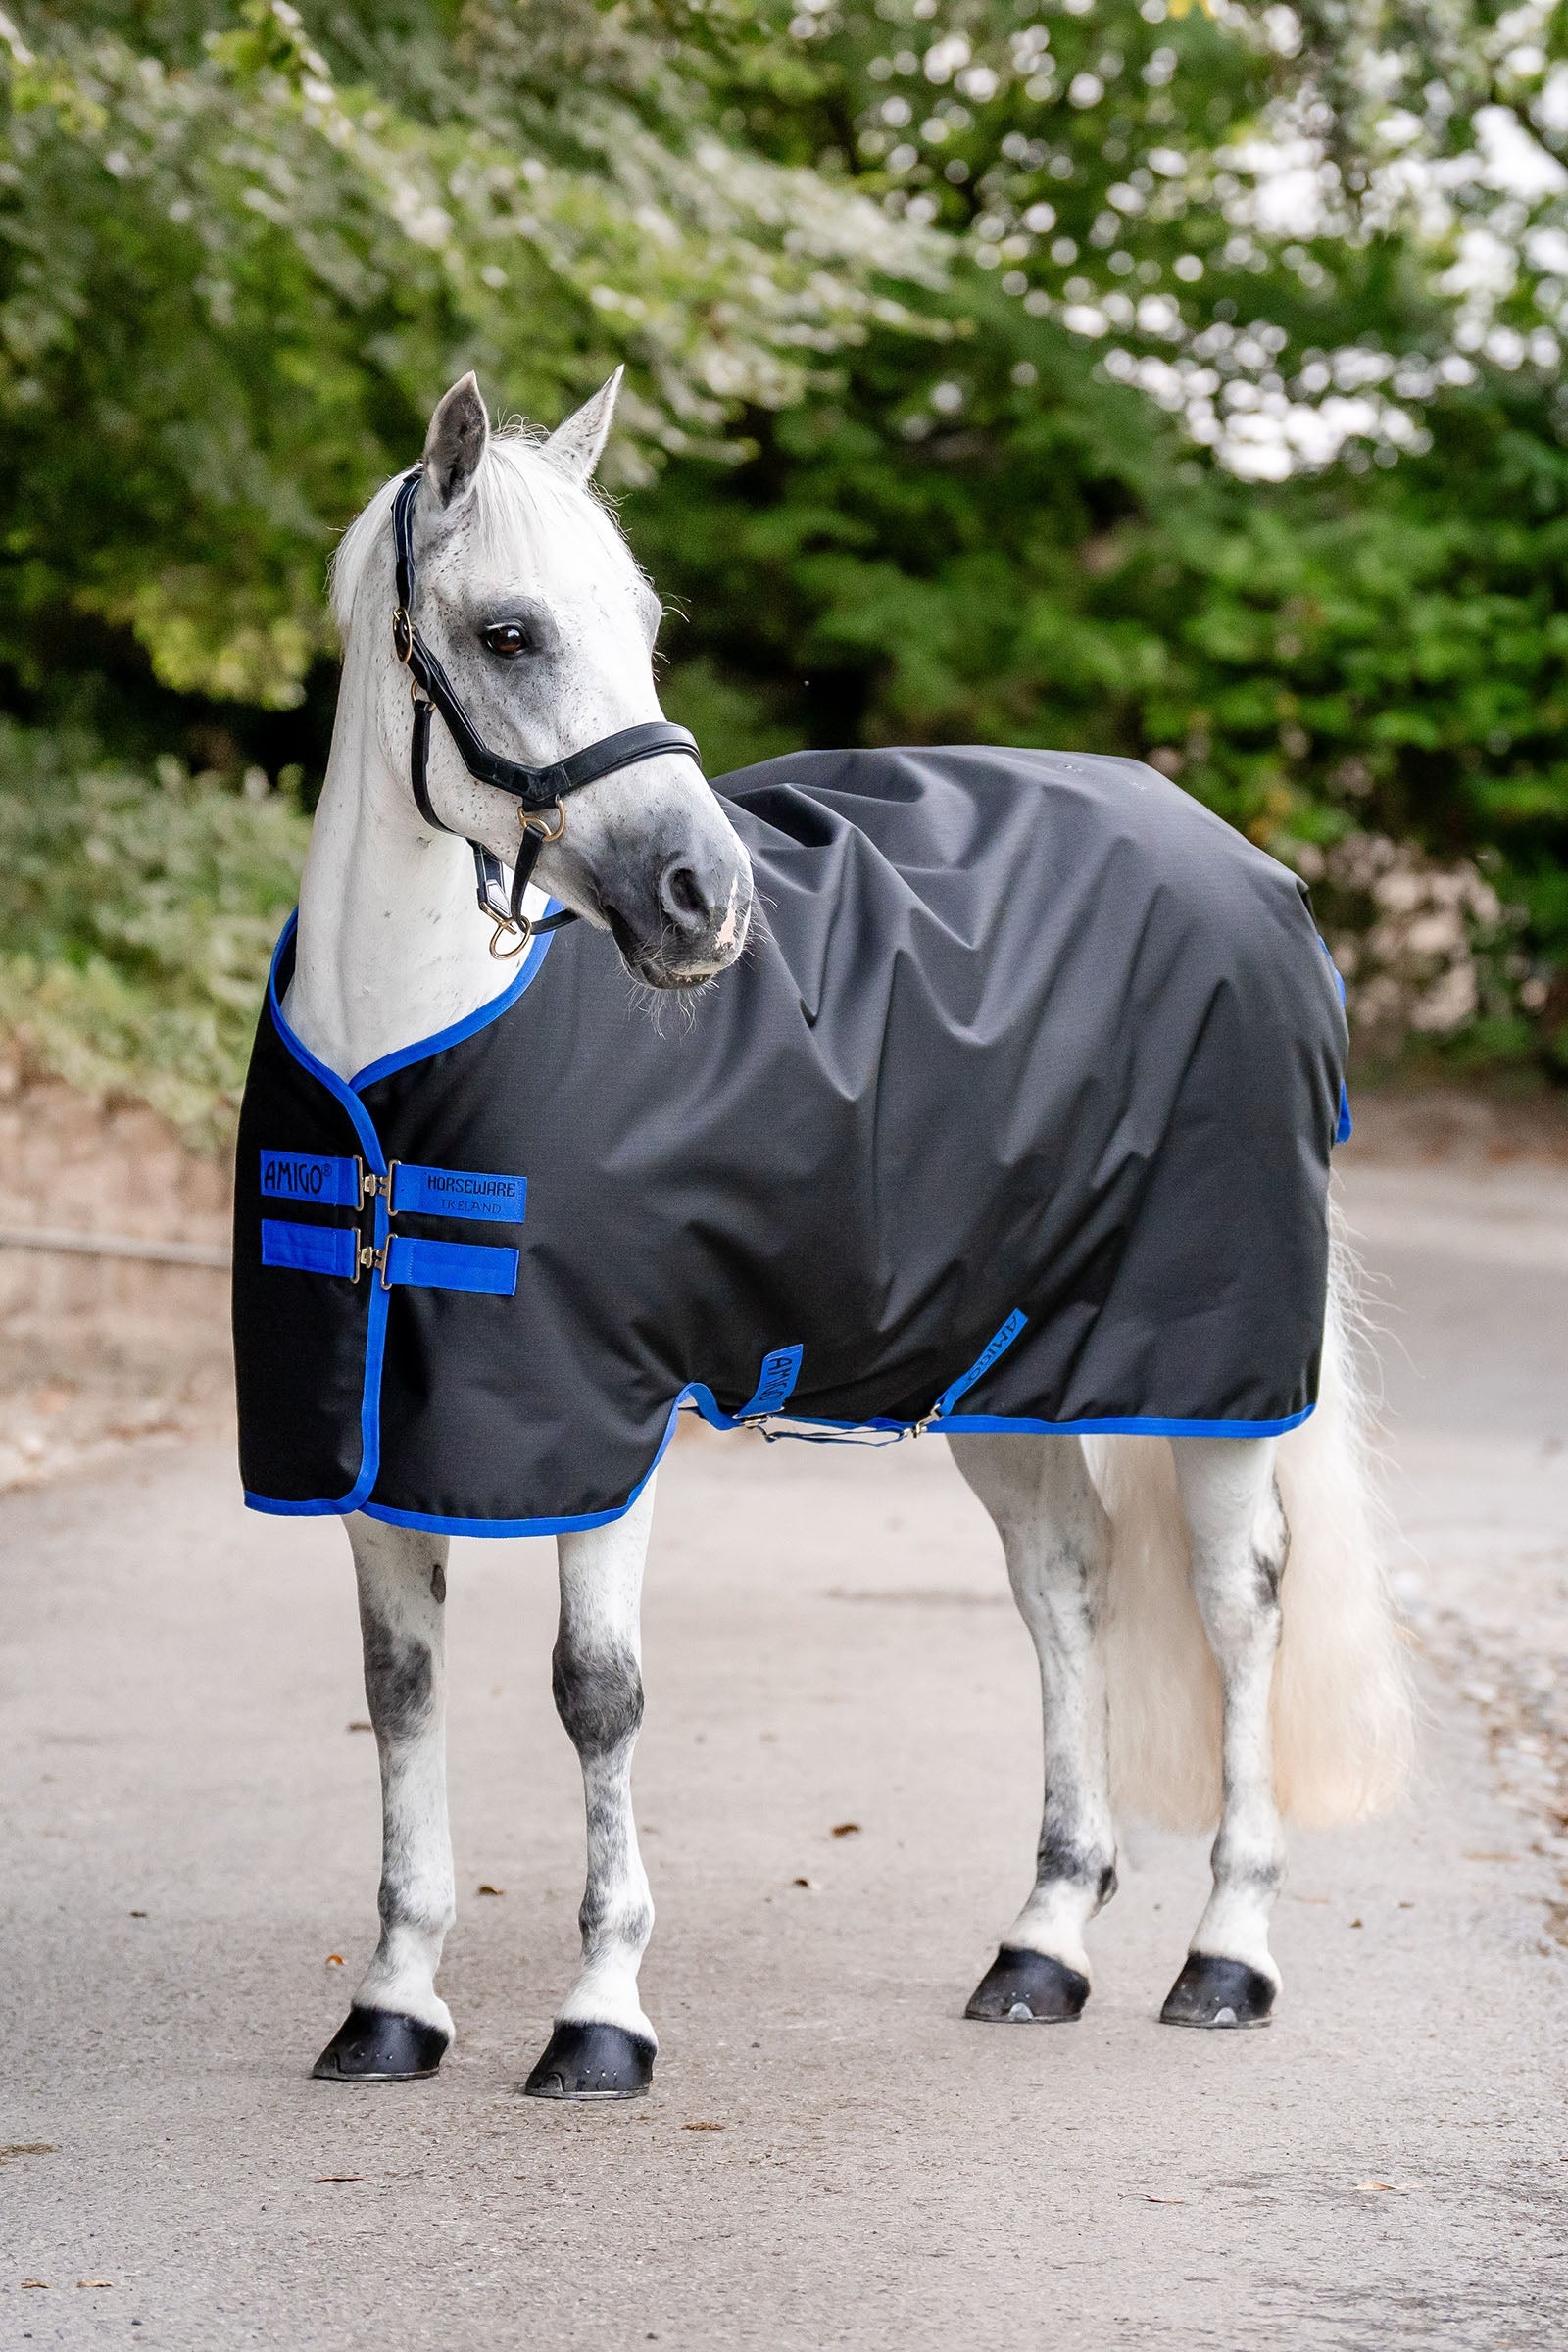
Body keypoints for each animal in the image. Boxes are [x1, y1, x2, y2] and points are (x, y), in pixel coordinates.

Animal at [252, 369, 1413, 2100]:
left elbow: (596, 1696)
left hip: (1213, 1375)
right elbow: (401, 1697)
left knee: (1238, 1601)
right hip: (1007, 1374)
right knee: (1066, 1584)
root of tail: (1255, 872)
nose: (706, 899)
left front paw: (601, 2017)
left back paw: (1227, 1954)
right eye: (511, 632)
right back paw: (1042, 1946)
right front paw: (393, 2004)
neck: (405, 1073)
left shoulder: (605, 1427)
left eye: (645, 624)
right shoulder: (379, 1443)